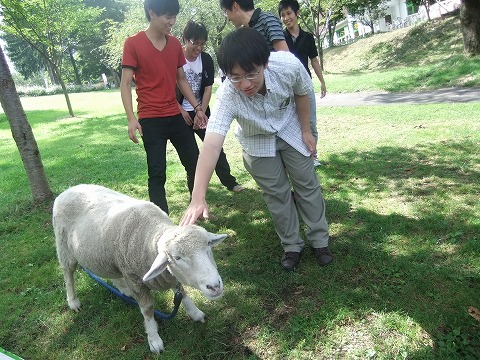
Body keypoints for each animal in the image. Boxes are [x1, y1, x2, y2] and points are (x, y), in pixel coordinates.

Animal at [51, 184, 228, 352]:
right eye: (177, 257)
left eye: (208, 245)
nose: (215, 286)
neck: (151, 237)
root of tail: (69, 190)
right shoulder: (134, 278)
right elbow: (148, 309)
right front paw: (154, 339)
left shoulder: (167, 276)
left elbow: (182, 294)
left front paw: (195, 313)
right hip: (64, 248)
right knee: (68, 274)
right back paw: (73, 301)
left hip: (108, 258)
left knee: (113, 274)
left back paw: (124, 290)